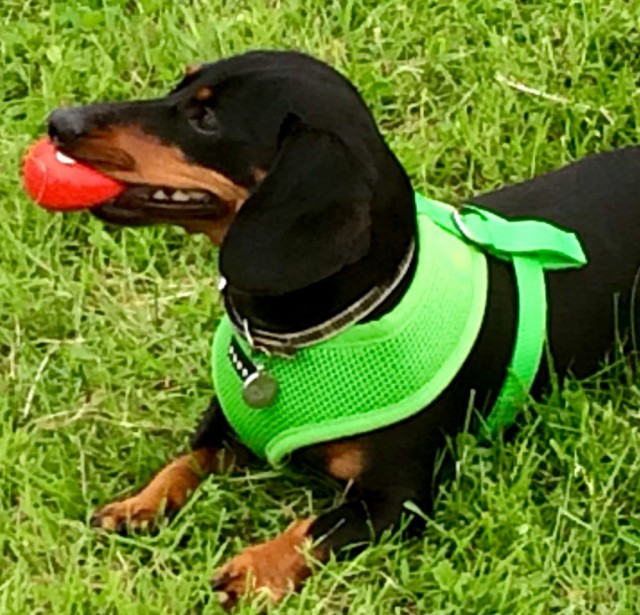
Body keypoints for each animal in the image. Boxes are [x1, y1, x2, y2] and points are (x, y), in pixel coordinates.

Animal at [45, 51, 640, 608]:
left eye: (206, 119)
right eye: (182, 84)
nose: (58, 121)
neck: (299, 338)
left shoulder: (396, 499)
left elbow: (314, 528)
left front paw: (254, 569)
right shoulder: (224, 428)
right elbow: (182, 463)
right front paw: (137, 505)